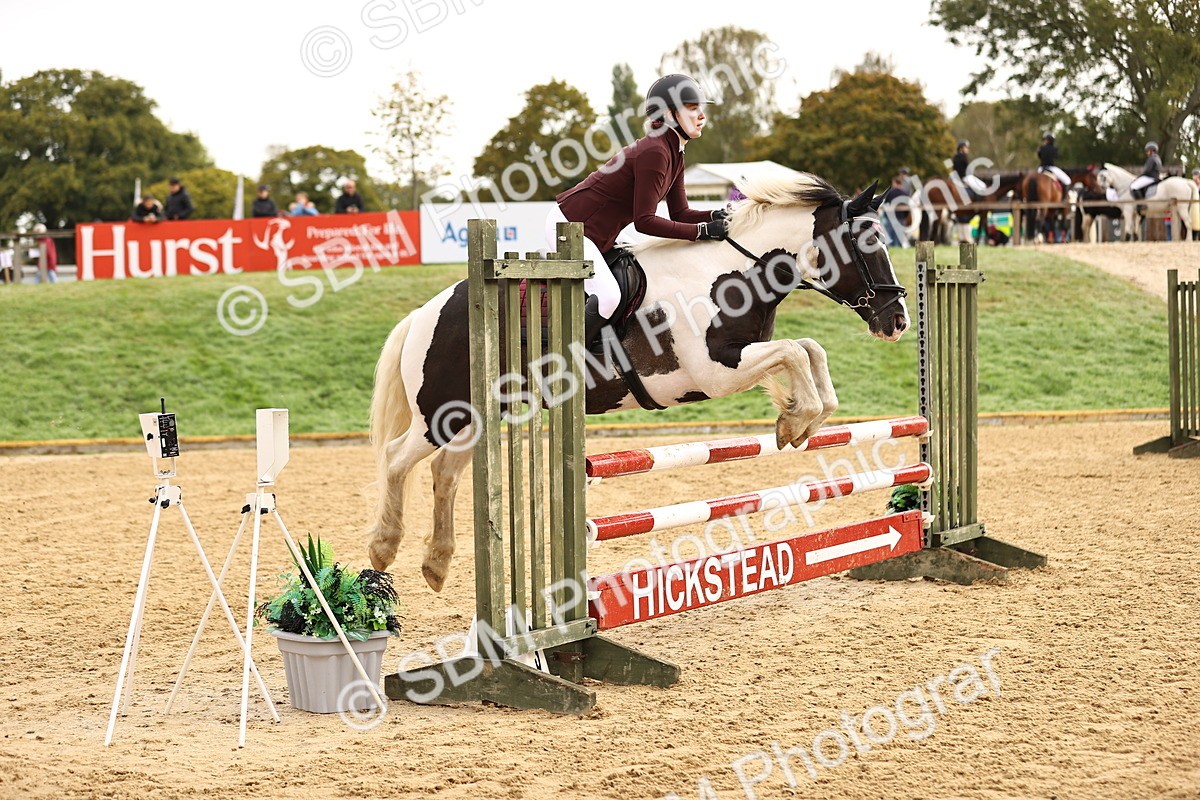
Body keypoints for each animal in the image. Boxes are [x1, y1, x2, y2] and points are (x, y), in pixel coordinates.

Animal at [365, 174, 910, 591]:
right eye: (868, 244)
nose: (898, 320)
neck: (733, 272)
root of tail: (425, 313)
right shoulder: (717, 372)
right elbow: (796, 351)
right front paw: (794, 422)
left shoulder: (740, 359)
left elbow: (811, 351)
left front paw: (798, 419)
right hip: (443, 412)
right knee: (395, 458)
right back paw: (383, 548)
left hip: (480, 414)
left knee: (445, 473)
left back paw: (436, 565)